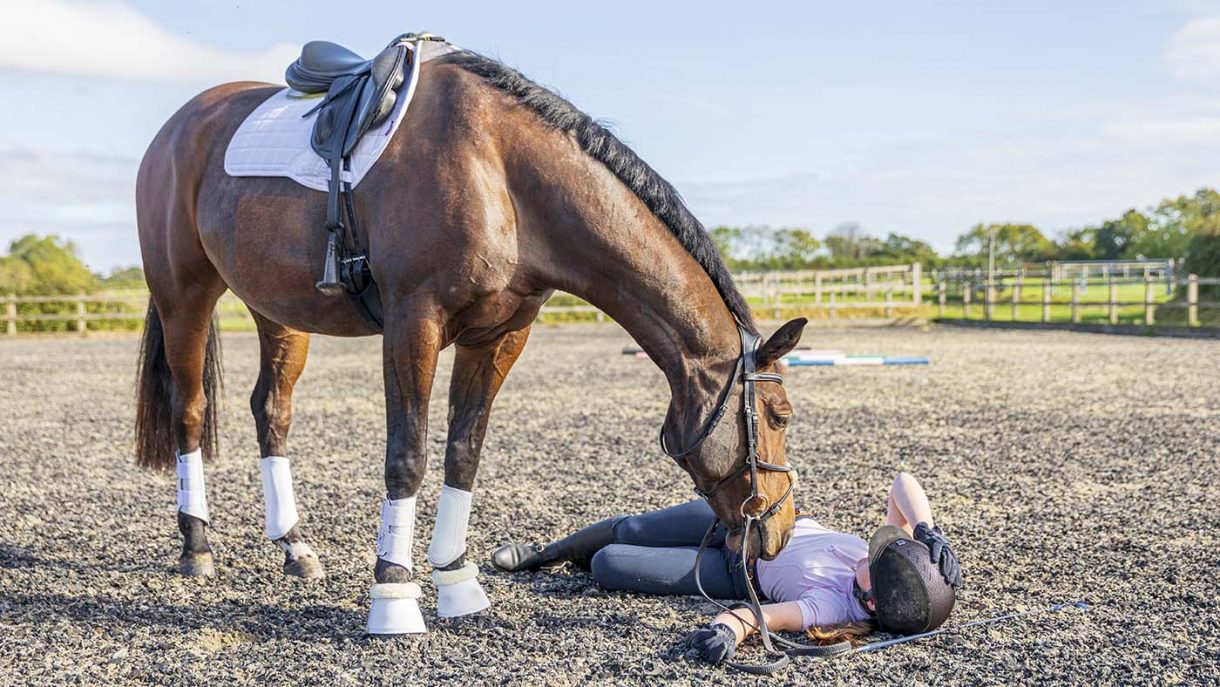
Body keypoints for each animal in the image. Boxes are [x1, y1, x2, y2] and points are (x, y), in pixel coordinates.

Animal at [134, 48, 808, 634]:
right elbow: (407, 455)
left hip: (277, 310)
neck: (502, 174)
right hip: (184, 296)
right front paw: (394, 597)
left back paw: (294, 547)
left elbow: (464, 452)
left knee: (271, 410)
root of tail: (176, 128)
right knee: (189, 410)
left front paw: (457, 584)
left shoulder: (500, 336)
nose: (780, 531)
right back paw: (196, 543)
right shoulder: (414, 322)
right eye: (778, 414)